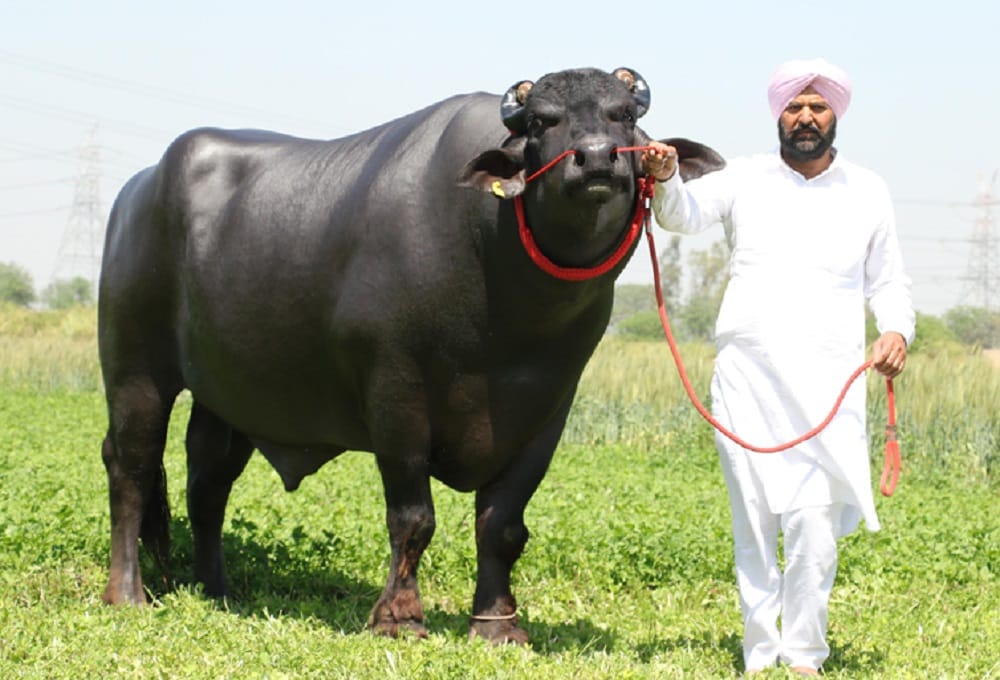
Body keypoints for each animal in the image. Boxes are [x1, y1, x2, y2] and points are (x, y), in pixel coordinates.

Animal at [97, 66, 724, 644]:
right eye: (543, 122)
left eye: (624, 114)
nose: (595, 158)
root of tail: (137, 189)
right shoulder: (395, 395)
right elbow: (413, 518)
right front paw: (398, 618)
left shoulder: (548, 408)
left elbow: (502, 525)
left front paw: (497, 624)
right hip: (134, 366)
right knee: (131, 466)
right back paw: (126, 594)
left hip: (226, 393)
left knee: (208, 480)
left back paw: (217, 590)